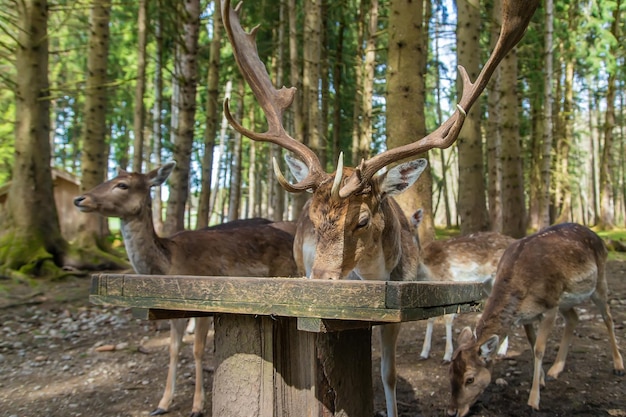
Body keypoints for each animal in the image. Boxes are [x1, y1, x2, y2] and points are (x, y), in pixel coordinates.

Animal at [73, 160, 298, 416]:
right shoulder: (173, 309)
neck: (169, 263)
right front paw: (162, 404)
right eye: (109, 178)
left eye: (122, 184)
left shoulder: (204, 305)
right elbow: (173, 349)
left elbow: (197, 349)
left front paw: (198, 405)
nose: (80, 198)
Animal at [408, 208, 516, 360]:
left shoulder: (449, 281)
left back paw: (502, 350)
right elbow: (430, 318)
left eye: (413, 226)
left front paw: (447, 355)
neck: (427, 272)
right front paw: (424, 352)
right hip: (488, 285)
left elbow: (448, 317)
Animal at [446, 224, 620, 416]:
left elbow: (539, 349)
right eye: (450, 372)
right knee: (574, 317)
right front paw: (543, 380)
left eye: (470, 379)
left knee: (608, 317)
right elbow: (532, 343)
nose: (453, 411)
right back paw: (555, 369)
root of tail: (599, 238)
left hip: (598, 281)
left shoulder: (550, 307)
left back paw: (618, 366)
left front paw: (533, 400)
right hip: (565, 301)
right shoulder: (526, 317)